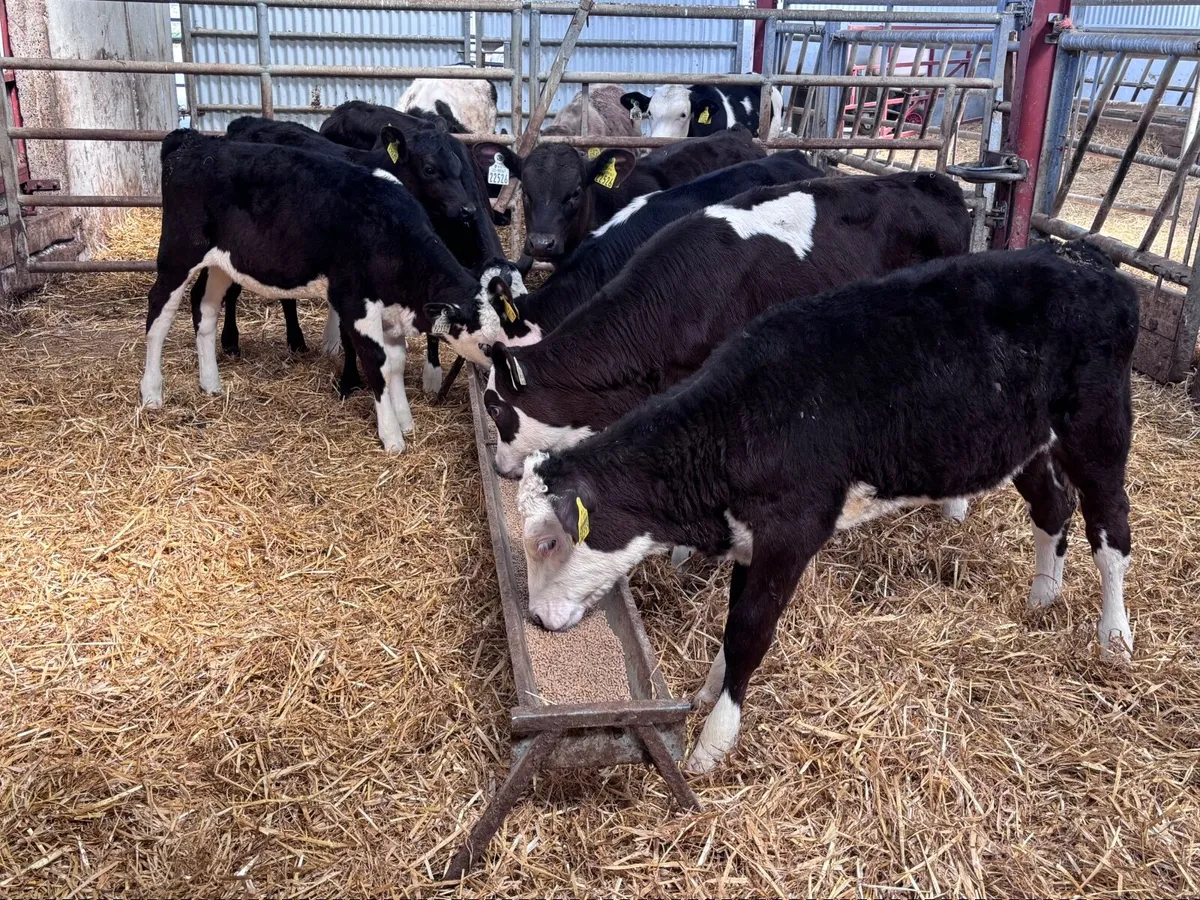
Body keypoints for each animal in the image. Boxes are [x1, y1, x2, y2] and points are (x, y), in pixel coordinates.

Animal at [141, 130, 505, 454]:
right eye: (486, 344)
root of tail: (193, 142)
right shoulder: (355, 302)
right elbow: (377, 364)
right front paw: (391, 436)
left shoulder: (389, 311)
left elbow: (396, 365)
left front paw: (405, 421)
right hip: (178, 252)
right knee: (159, 312)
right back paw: (151, 393)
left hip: (220, 263)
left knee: (206, 310)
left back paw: (211, 384)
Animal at [515, 239, 1139, 776]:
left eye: (549, 540)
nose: (536, 621)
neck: (739, 422)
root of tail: (1088, 263)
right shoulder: (750, 539)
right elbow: (733, 623)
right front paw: (709, 690)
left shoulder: (792, 533)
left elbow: (749, 631)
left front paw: (714, 740)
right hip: (1021, 442)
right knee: (1053, 508)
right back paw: (1043, 596)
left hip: (1098, 430)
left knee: (1110, 531)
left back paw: (1114, 638)